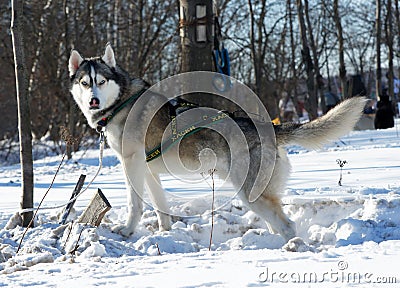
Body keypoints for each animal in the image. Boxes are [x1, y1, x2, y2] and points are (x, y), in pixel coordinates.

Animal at [69, 45, 366, 242]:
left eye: (101, 81)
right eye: (84, 83)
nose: (93, 100)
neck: (121, 103)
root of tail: (269, 126)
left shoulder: (131, 165)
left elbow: (135, 204)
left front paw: (128, 231)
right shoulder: (149, 170)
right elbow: (161, 206)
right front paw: (165, 233)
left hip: (251, 194)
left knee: (288, 226)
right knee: (277, 223)